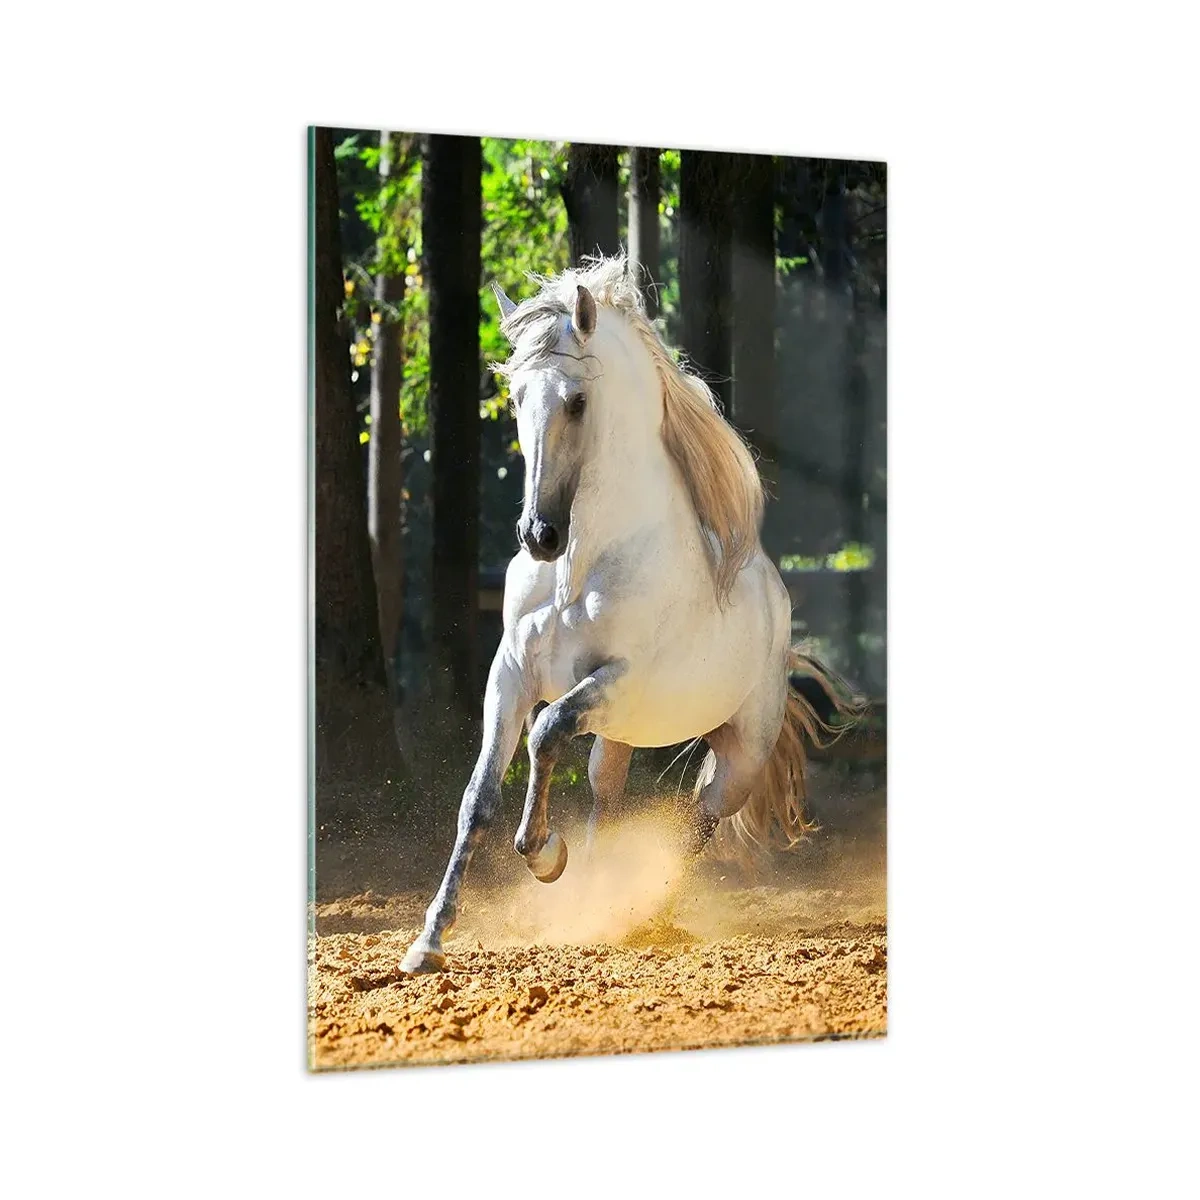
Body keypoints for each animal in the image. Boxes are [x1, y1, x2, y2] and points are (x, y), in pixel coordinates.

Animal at [399, 253, 864, 974]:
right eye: (517, 397)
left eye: (577, 401)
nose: (539, 535)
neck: (579, 569)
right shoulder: (509, 676)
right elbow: (477, 798)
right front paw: (428, 942)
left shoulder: (616, 680)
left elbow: (545, 734)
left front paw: (544, 855)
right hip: (619, 737)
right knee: (606, 795)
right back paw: (592, 903)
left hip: (738, 754)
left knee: (699, 820)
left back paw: (641, 910)